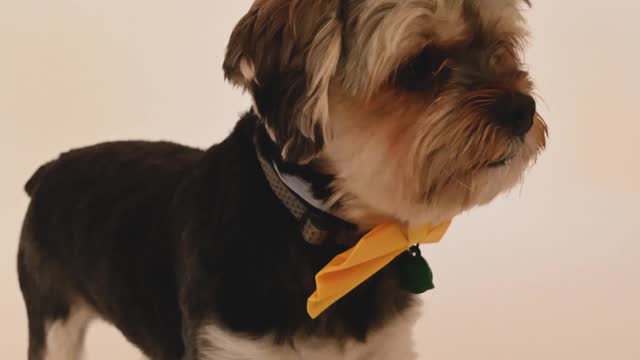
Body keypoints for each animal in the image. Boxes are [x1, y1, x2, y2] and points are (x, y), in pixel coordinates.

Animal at [17, 0, 548, 358]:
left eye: (503, 49)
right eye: (419, 65)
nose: (522, 109)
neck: (327, 240)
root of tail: (46, 171)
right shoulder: (226, 345)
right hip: (52, 319)